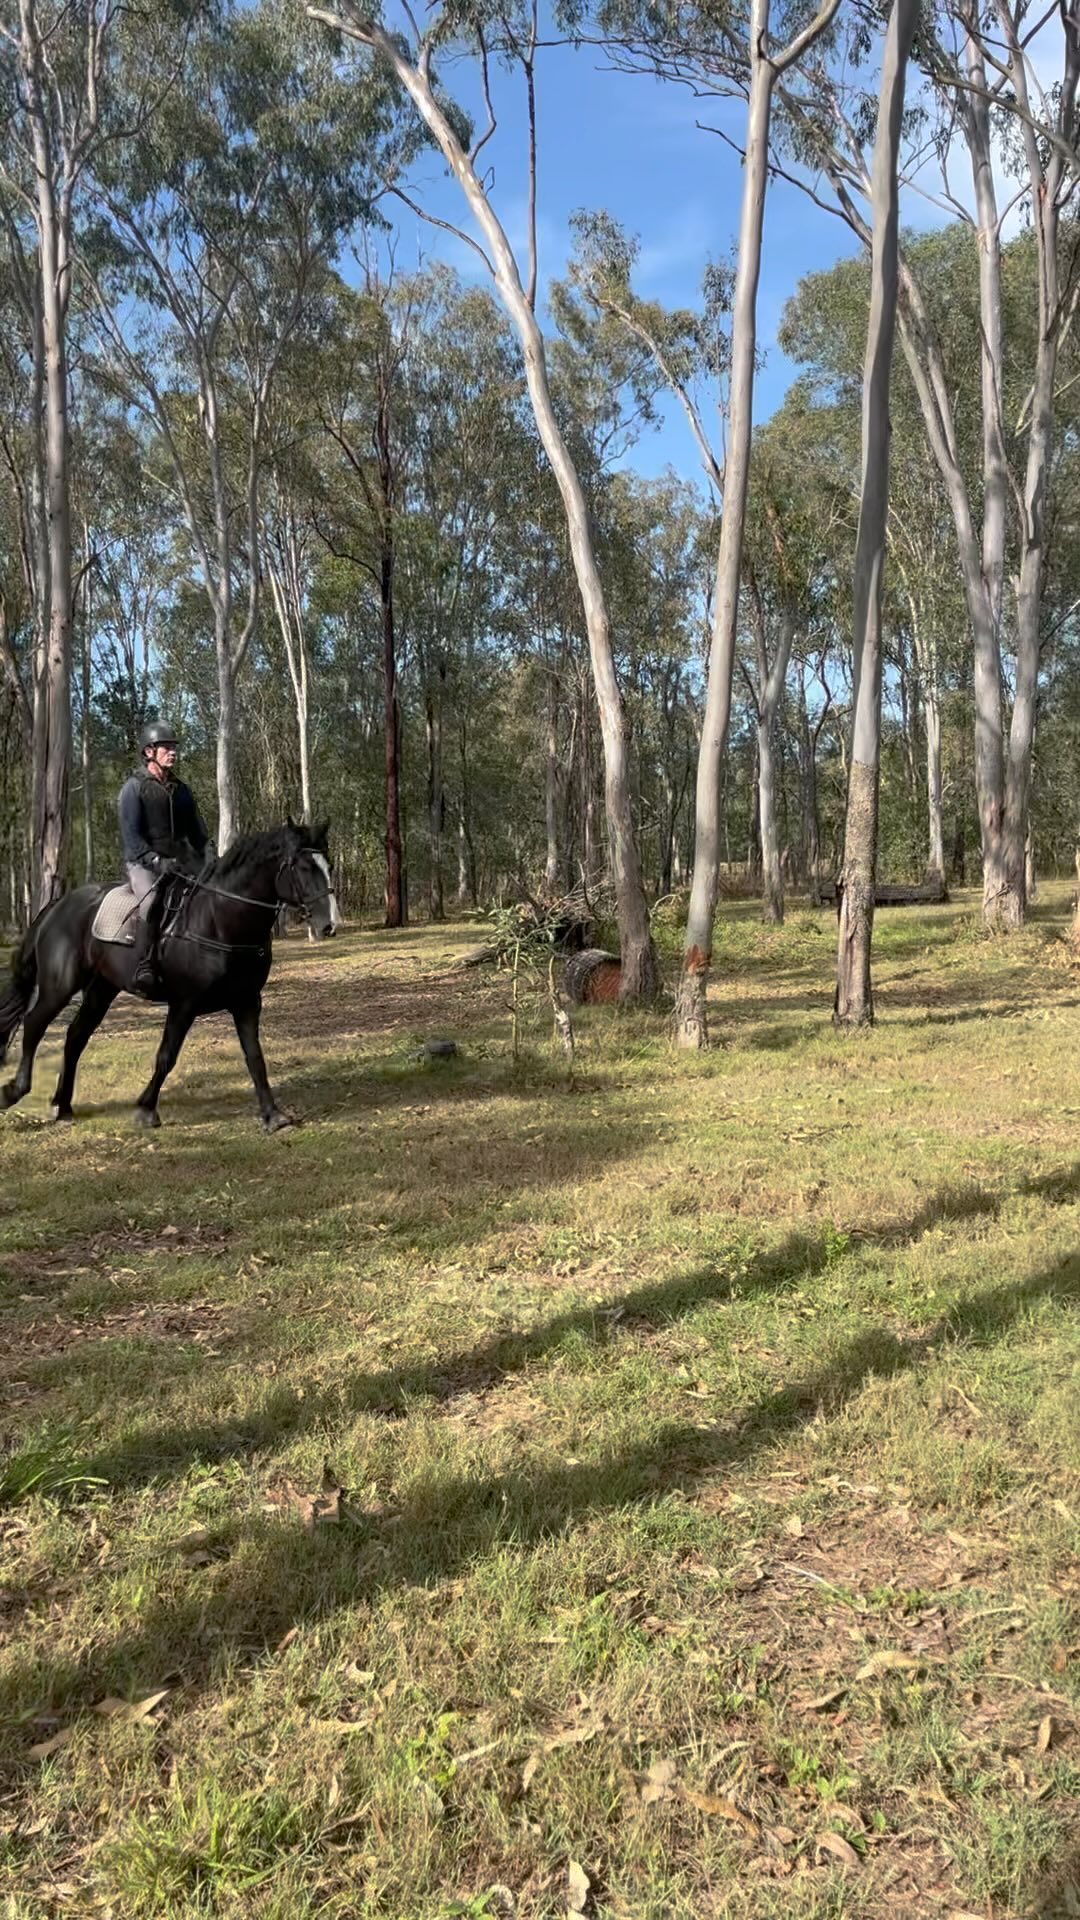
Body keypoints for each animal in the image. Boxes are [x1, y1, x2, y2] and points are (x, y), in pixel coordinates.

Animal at [0, 819, 339, 1133]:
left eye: (329, 865)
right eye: (304, 867)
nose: (330, 925)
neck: (220, 922)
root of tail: (59, 905)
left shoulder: (246, 1002)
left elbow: (255, 1057)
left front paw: (273, 1115)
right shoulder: (184, 1004)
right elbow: (167, 1056)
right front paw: (146, 1109)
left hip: (101, 989)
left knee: (75, 1037)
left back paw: (63, 1106)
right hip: (60, 985)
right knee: (34, 1024)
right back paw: (14, 1092)